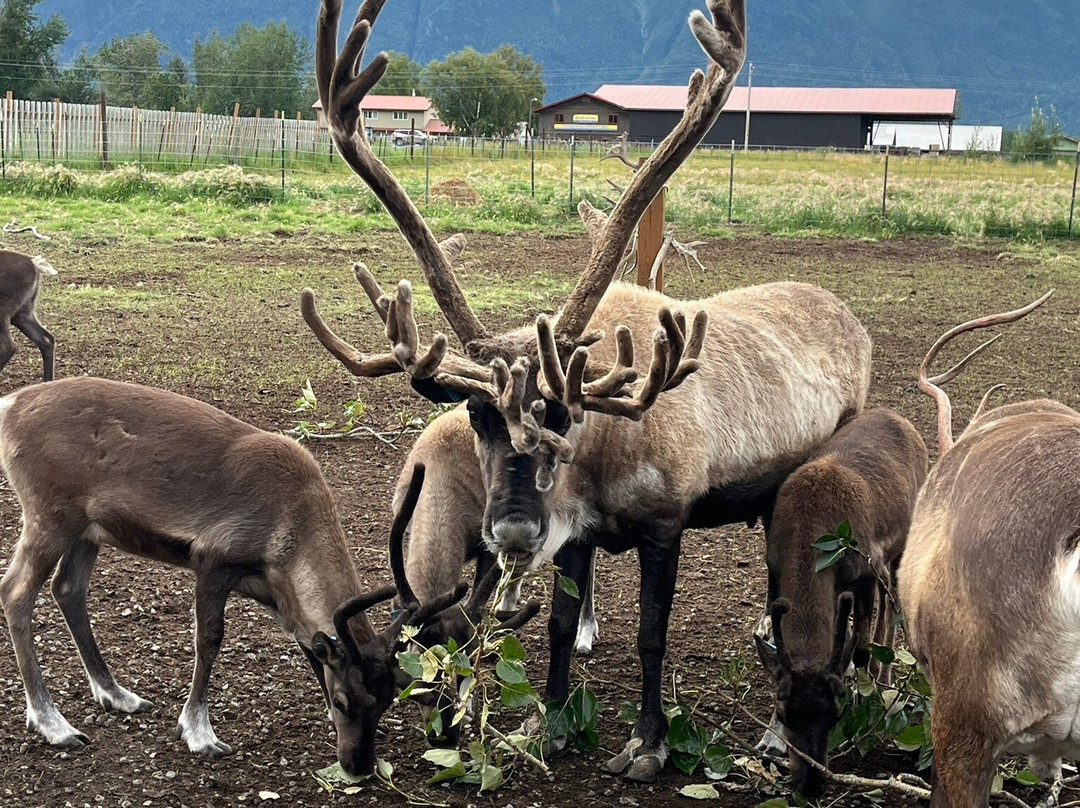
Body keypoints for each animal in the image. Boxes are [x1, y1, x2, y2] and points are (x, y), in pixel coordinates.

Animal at [0, 376, 475, 777]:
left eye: (388, 699)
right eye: (344, 702)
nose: (357, 766)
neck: (293, 531)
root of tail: (10, 405)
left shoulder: (279, 597)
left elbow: (309, 647)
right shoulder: (214, 561)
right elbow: (209, 639)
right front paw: (199, 731)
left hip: (88, 528)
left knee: (68, 589)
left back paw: (116, 694)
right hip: (49, 515)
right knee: (16, 591)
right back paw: (52, 723)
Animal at [301, 0, 872, 781]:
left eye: (563, 415)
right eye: (476, 414)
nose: (512, 531)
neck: (604, 458)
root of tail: (851, 316)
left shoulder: (666, 522)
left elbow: (652, 635)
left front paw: (648, 744)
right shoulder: (574, 534)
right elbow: (558, 626)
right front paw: (548, 727)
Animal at [755, 408, 928, 799]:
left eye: (833, 713)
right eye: (784, 713)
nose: (812, 784)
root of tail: (900, 418)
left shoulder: (864, 572)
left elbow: (861, 649)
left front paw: (860, 721)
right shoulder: (773, 566)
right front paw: (769, 740)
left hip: (901, 542)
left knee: (893, 604)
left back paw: (885, 683)